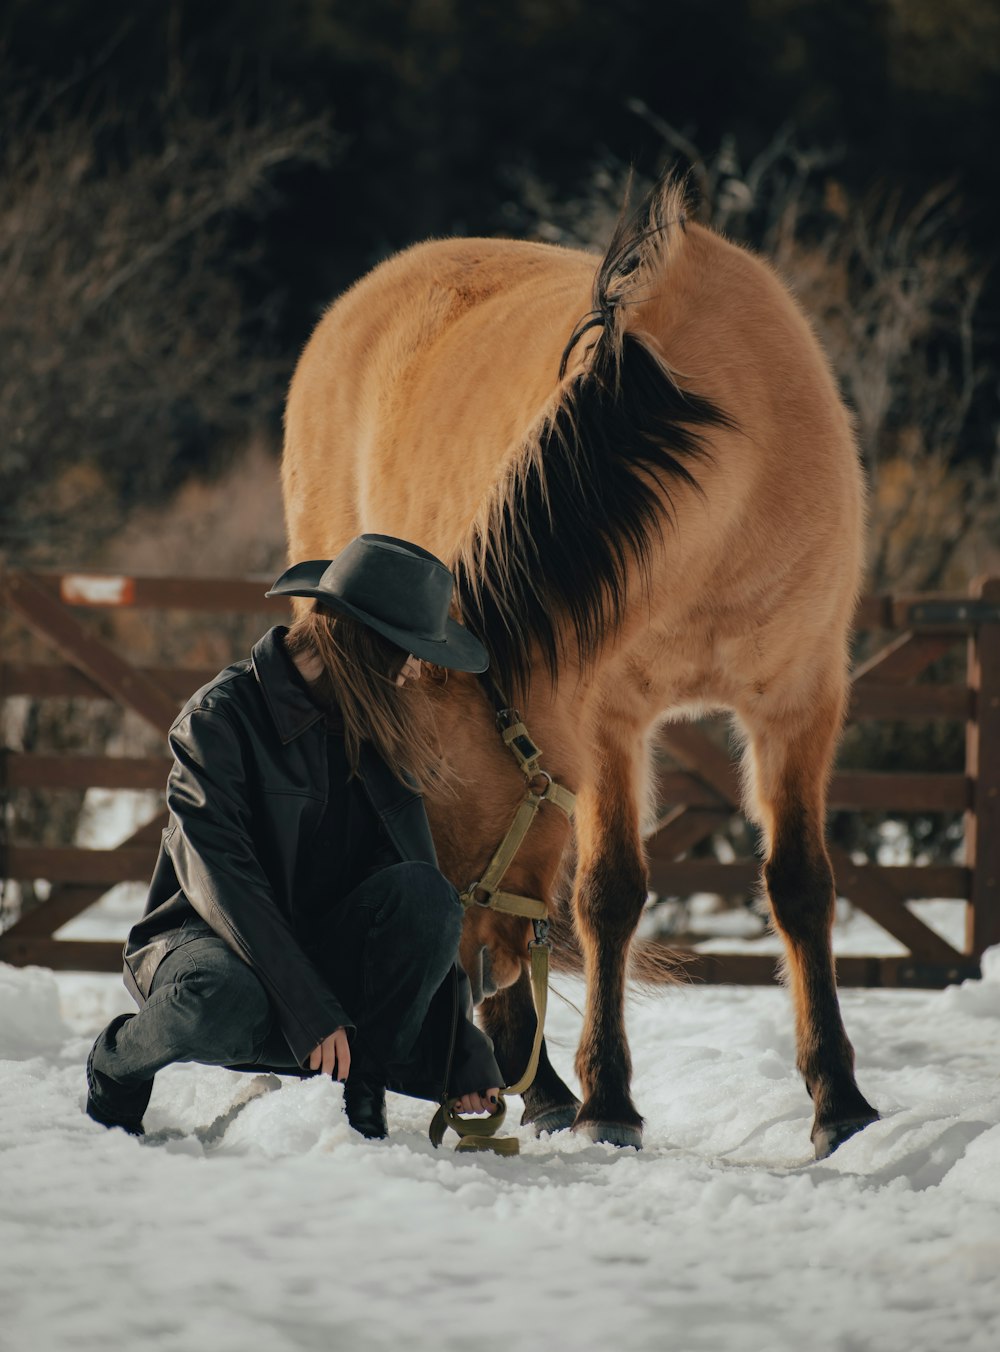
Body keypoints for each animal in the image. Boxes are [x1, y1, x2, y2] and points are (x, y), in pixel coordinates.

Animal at [277, 174, 881, 1157]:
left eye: (432, 797)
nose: (453, 958)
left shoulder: (798, 701)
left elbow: (799, 886)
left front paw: (841, 1103)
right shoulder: (605, 720)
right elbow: (608, 896)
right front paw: (607, 1102)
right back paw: (546, 1087)